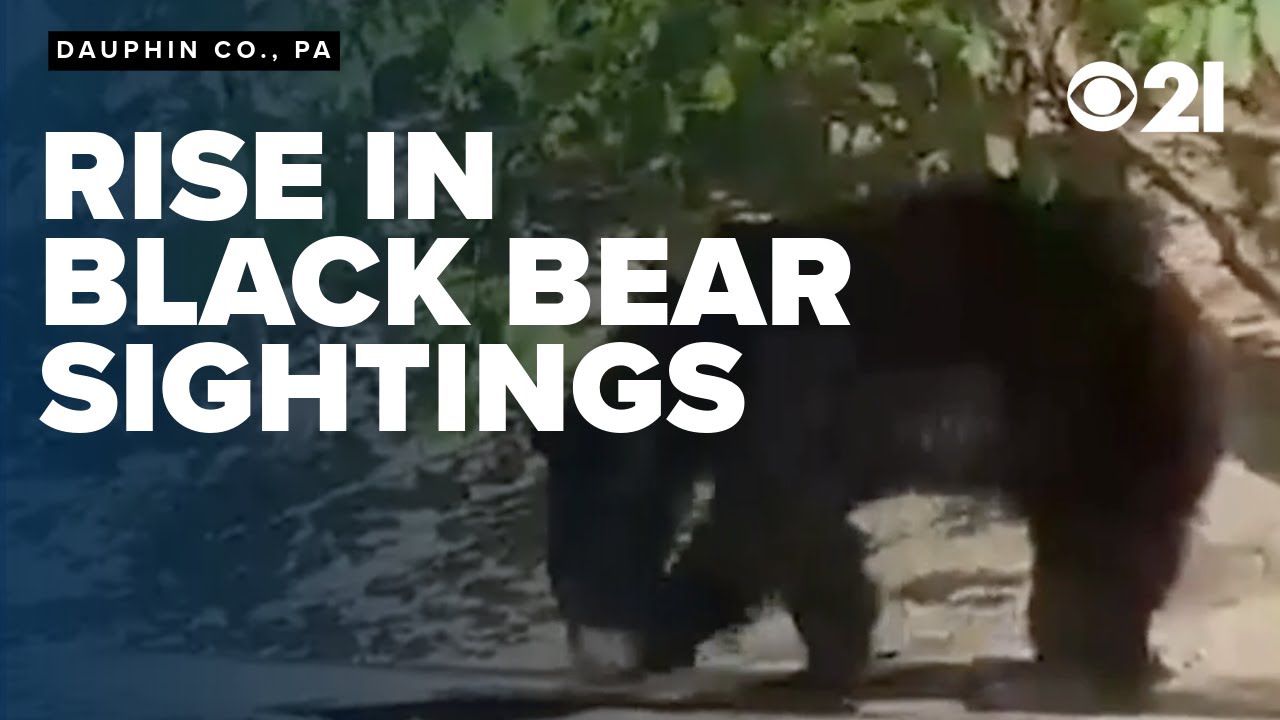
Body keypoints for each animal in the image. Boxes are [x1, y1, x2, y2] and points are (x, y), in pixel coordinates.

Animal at [531, 173, 1227, 712]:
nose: (584, 627)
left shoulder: (787, 370)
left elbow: (771, 517)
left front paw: (666, 636)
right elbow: (793, 528)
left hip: (1103, 394)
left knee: (1102, 542)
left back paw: (1066, 678)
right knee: (1092, 541)